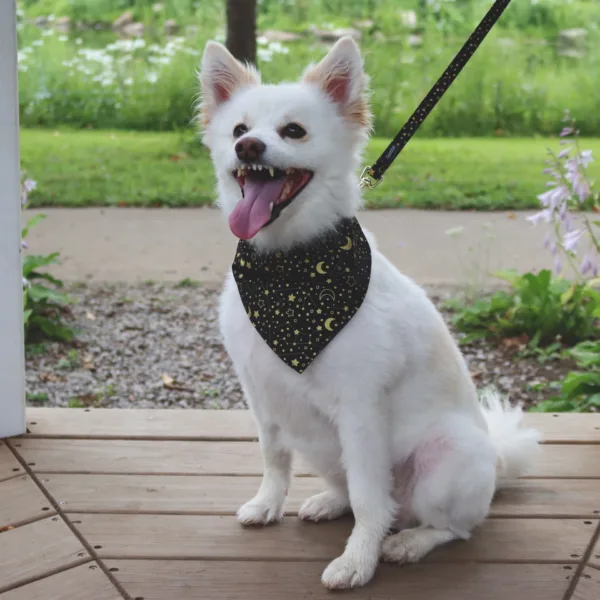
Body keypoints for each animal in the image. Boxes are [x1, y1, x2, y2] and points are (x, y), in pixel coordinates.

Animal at [197, 37, 540, 592]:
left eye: (293, 131)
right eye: (238, 130)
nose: (248, 148)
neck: (288, 266)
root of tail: (497, 458)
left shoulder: (359, 411)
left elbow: (368, 499)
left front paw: (358, 561)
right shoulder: (262, 397)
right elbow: (274, 459)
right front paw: (268, 505)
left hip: (444, 461)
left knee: (451, 526)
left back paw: (407, 542)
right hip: (322, 446)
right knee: (356, 493)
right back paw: (327, 502)